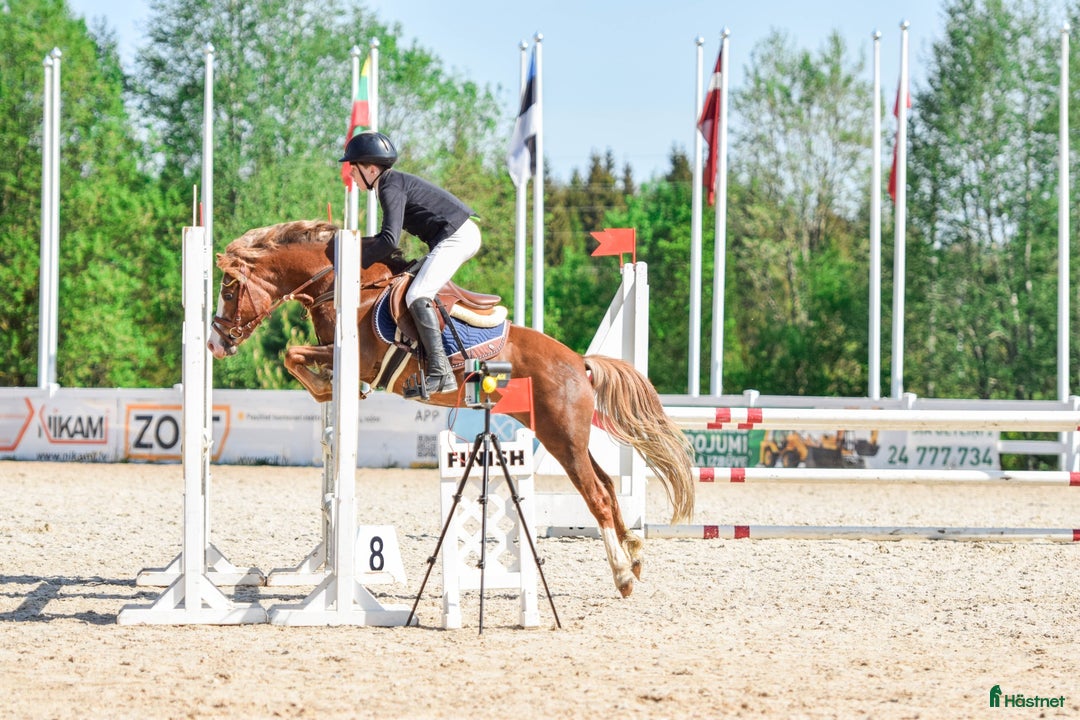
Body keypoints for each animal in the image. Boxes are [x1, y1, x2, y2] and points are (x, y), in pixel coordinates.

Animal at [207, 219, 694, 597]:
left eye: (229, 290)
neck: (346, 289)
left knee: (596, 494)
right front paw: (327, 389)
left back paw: (622, 576)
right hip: (566, 435)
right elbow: (293, 355)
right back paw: (634, 556)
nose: (215, 344)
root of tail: (579, 361)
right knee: (608, 485)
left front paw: (327, 390)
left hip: (562, 438)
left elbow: (291, 353)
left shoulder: (358, 359)